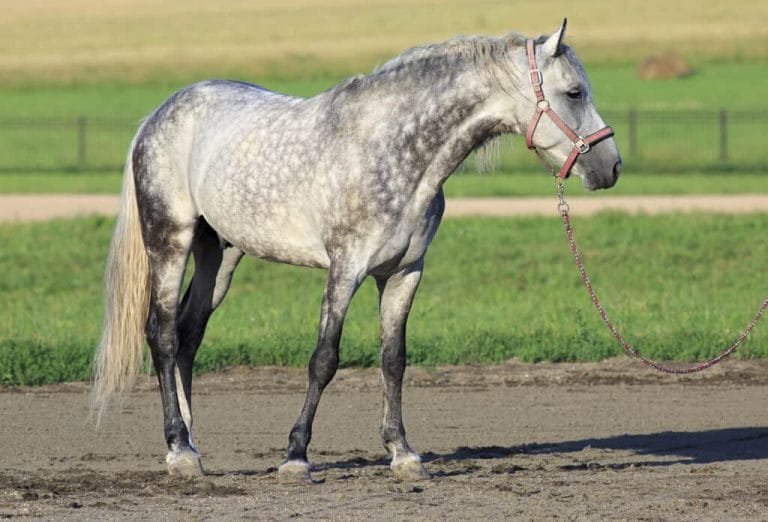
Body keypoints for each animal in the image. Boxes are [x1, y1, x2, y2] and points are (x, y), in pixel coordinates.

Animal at [92, 20, 622, 483]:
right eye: (574, 92)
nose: (611, 166)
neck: (395, 152)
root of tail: (160, 114)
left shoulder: (404, 273)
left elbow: (394, 360)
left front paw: (403, 454)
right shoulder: (345, 269)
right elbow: (324, 359)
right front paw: (296, 457)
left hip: (220, 257)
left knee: (189, 335)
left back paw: (190, 446)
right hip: (170, 241)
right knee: (163, 336)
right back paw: (179, 451)